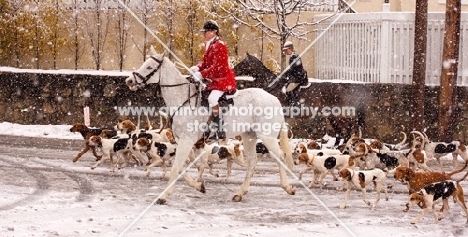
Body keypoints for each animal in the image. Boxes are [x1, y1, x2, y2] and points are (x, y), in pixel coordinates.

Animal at [124, 47, 292, 205]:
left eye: (149, 66)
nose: (129, 81)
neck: (183, 100)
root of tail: (274, 99)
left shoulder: (187, 141)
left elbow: (176, 168)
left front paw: (164, 196)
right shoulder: (182, 142)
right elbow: (181, 167)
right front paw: (198, 186)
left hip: (267, 136)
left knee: (280, 156)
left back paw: (287, 187)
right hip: (249, 136)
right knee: (252, 162)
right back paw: (240, 193)